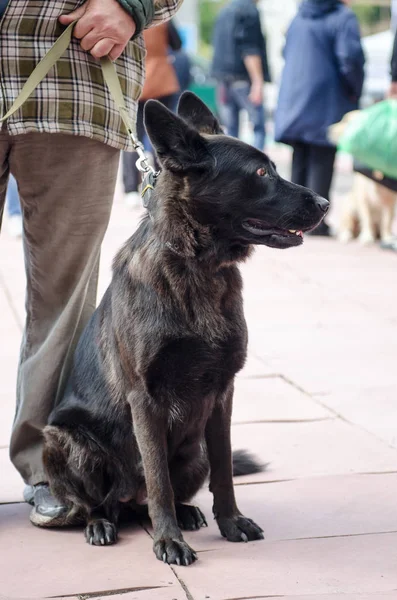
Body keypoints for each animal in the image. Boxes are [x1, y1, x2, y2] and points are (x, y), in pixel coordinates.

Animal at [43, 91, 328, 564]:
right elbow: (157, 477)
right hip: (66, 441)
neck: (199, 267)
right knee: (96, 502)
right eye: (261, 173)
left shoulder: (223, 393)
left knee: (183, 484)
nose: (325, 204)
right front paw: (168, 541)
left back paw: (188, 513)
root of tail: (127, 503)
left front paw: (230, 523)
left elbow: (225, 471)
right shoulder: (145, 400)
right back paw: (101, 523)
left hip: (194, 451)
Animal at [328, 111, 396, 245]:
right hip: (349, 208)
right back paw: (346, 236)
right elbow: (367, 219)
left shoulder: (390, 202)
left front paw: (387, 238)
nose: (328, 129)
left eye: (346, 121)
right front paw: (367, 237)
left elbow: (387, 221)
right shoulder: (363, 199)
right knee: (347, 227)